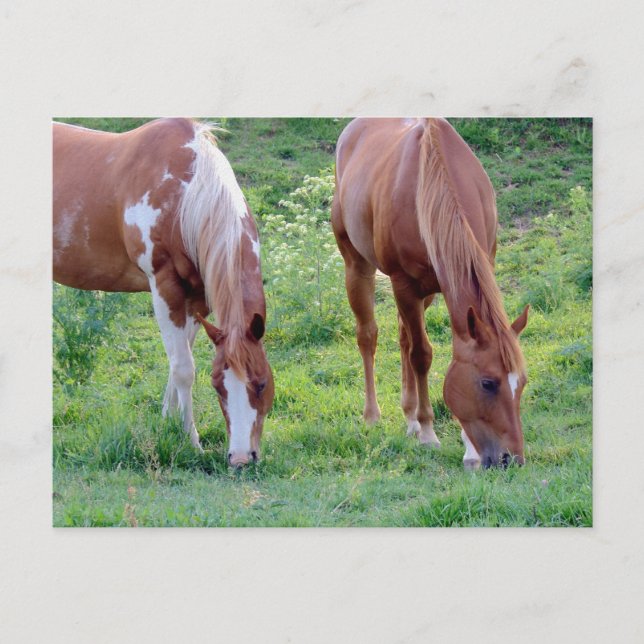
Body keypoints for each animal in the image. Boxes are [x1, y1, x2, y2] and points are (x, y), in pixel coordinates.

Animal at [53, 118, 274, 467]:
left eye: (262, 383)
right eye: (218, 386)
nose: (240, 458)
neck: (188, 193)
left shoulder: (197, 299)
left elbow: (178, 360)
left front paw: (169, 423)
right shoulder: (164, 287)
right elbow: (184, 368)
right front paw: (192, 442)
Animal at [332, 118, 529, 469]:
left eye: (522, 383)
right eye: (488, 383)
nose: (511, 459)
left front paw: (464, 446)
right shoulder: (404, 284)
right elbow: (421, 355)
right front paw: (427, 431)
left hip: (427, 294)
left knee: (402, 337)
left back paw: (408, 416)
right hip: (357, 267)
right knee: (368, 336)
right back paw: (373, 416)